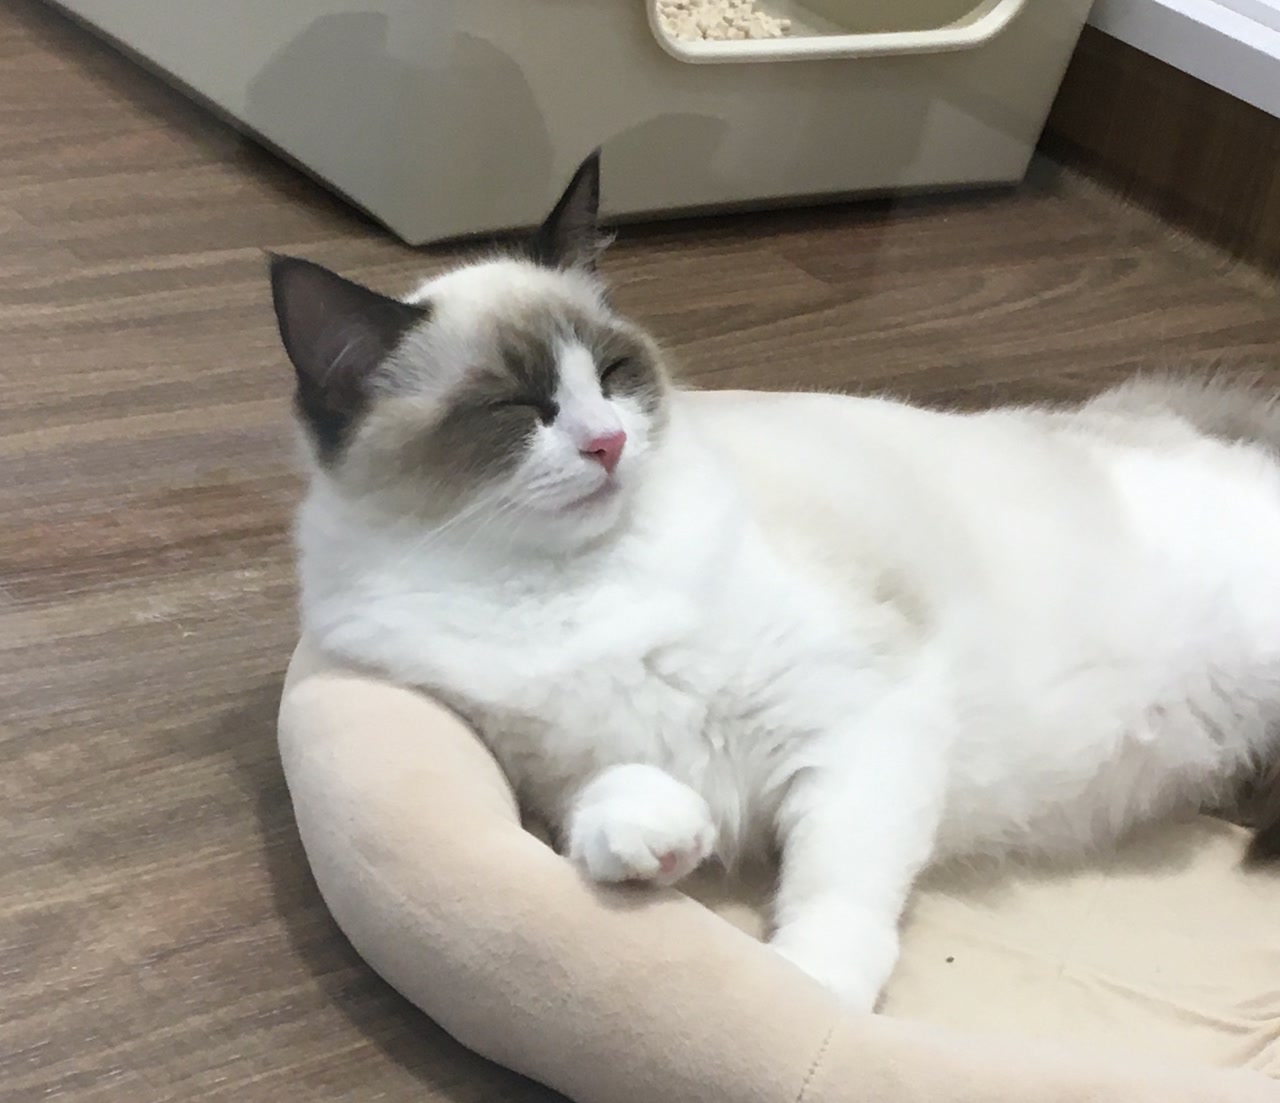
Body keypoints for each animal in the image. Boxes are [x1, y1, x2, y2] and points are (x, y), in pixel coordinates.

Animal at [269, 151, 1280, 1012]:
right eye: (519, 408)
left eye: (613, 376)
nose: (609, 443)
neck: (561, 586)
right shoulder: (545, 766)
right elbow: (606, 800)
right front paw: (652, 841)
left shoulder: (859, 722)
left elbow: (833, 890)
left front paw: (811, 995)